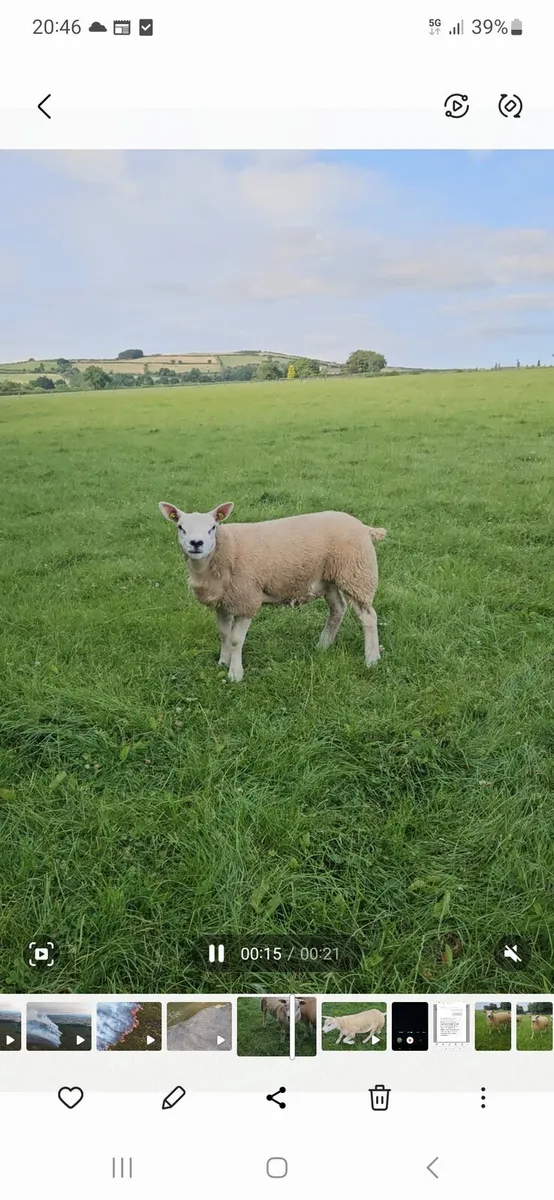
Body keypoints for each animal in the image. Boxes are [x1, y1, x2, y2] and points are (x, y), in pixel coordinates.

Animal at [158, 500, 386, 681]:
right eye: (180, 527)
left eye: (212, 527)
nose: (196, 543)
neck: (226, 550)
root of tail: (364, 527)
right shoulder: (223, 602)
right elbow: (223, 634)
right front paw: (223, 662)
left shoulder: (247, 600)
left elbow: (235, 639)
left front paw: (235, 674)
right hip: (329, 578)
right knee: (338, 609)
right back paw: (323, 645)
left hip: (357, 574)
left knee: (368, 617)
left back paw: (372, 659)